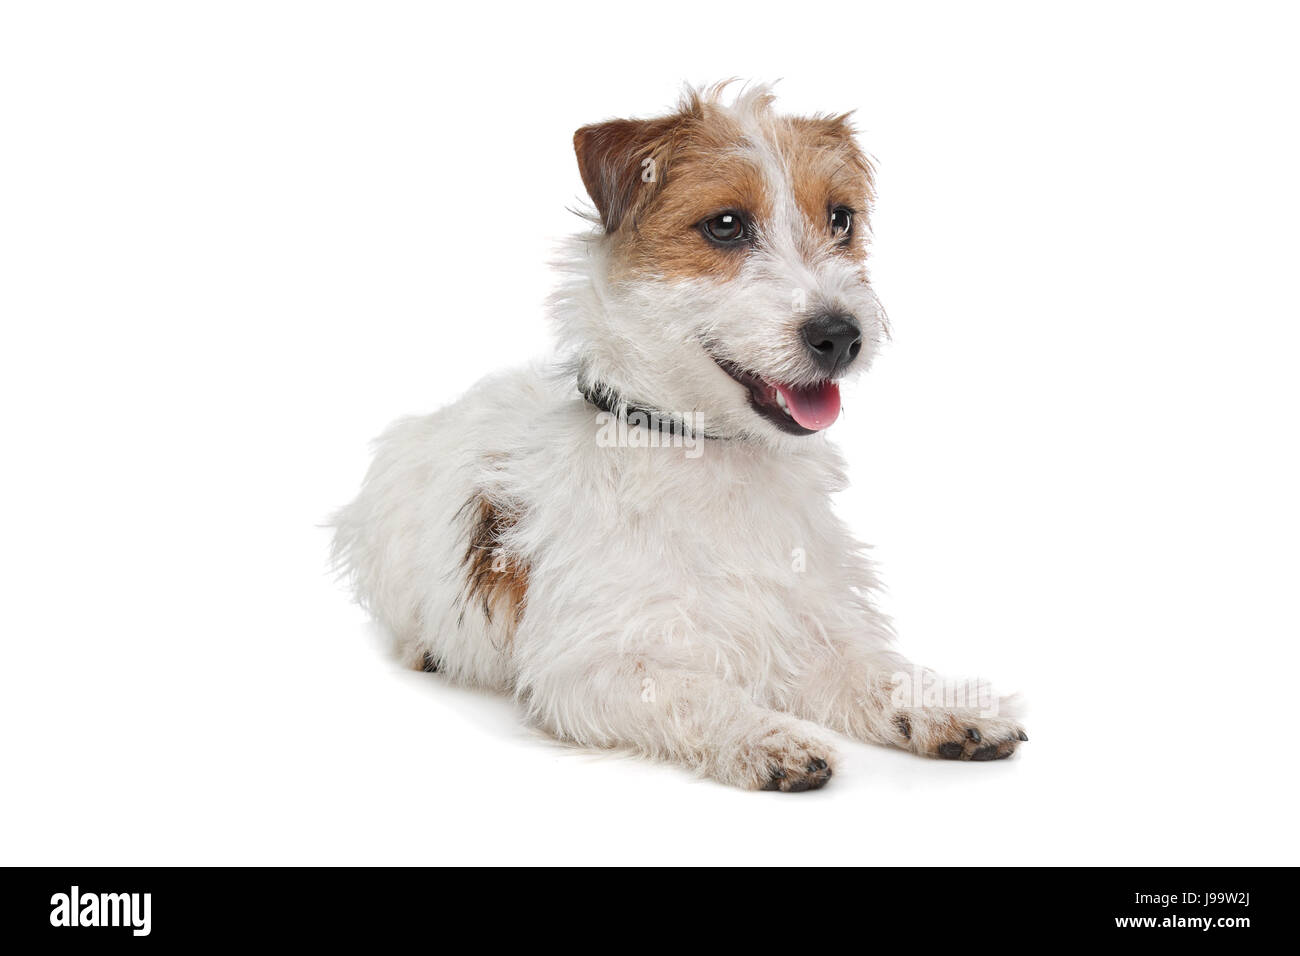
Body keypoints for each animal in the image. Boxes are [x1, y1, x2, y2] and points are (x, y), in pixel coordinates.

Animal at [332, 82, 1024, 790]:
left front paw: (947, 706)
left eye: (840, 219)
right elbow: (692, 693)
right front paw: (767, 736)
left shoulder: (806, 626)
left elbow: (876, 672)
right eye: (726, 224)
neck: (711, 450)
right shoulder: (595, 665)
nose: (841, 335)